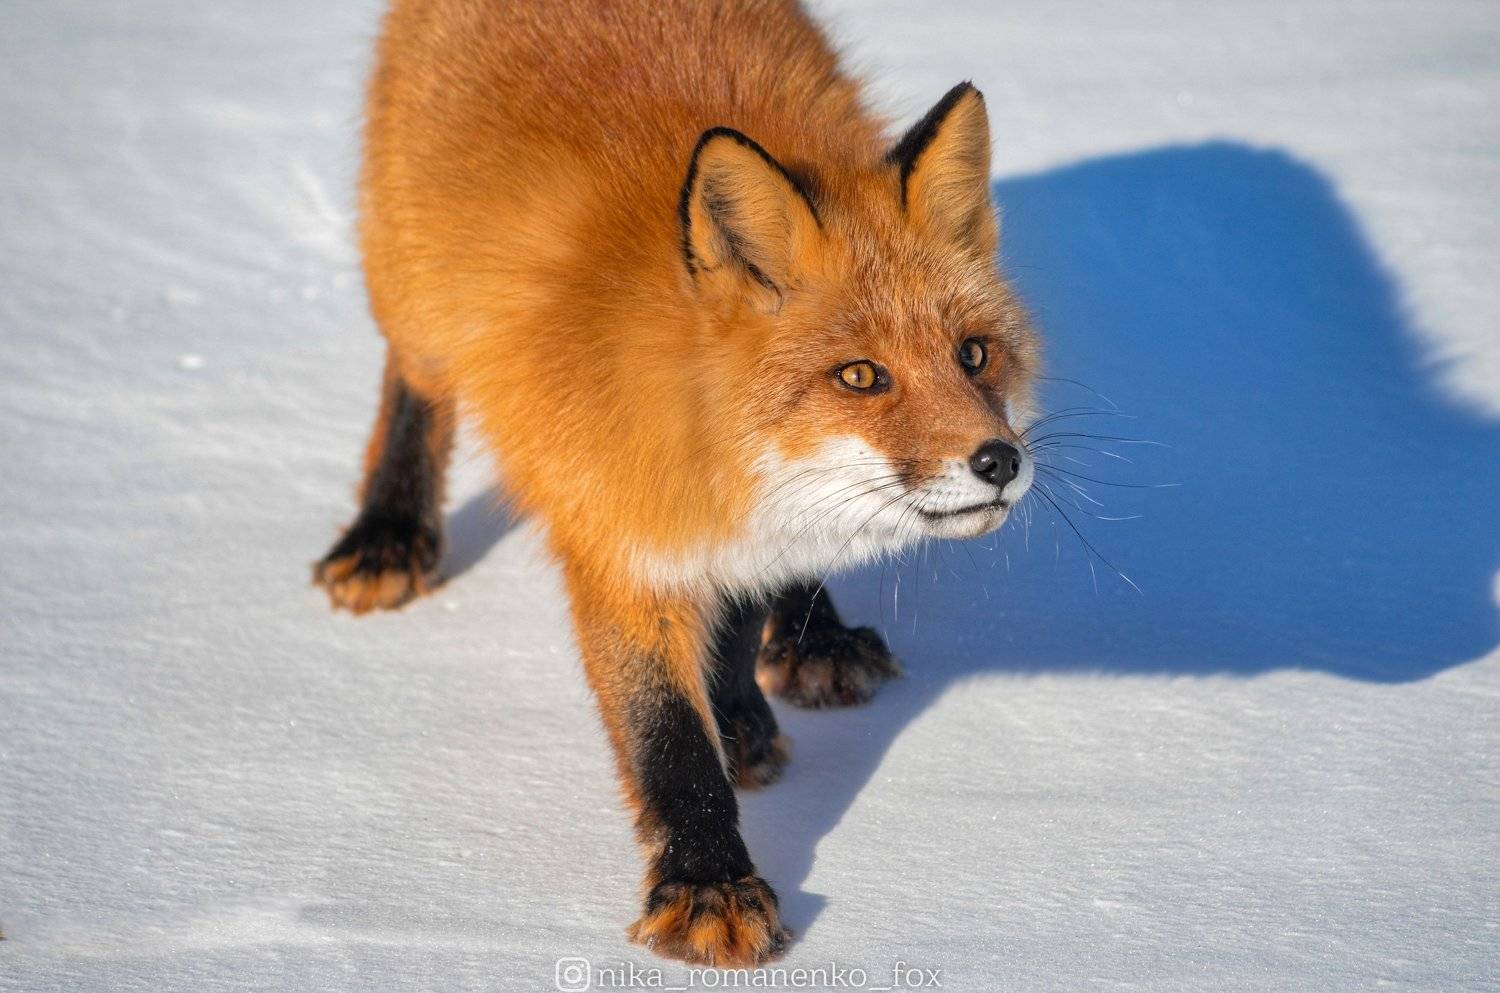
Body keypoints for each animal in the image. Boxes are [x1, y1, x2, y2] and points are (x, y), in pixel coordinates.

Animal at [314, 0, 1040, 967]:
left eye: (974, 355)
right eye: (860, 377)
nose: (999, 461)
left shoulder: (733, 528)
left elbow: (736, 619)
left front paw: (737, 713)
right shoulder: (615, 537)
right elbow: (666, 739)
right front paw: (707, 885)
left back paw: (811, 635)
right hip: (414, 280)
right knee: (413, 380)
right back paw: (388, 531)